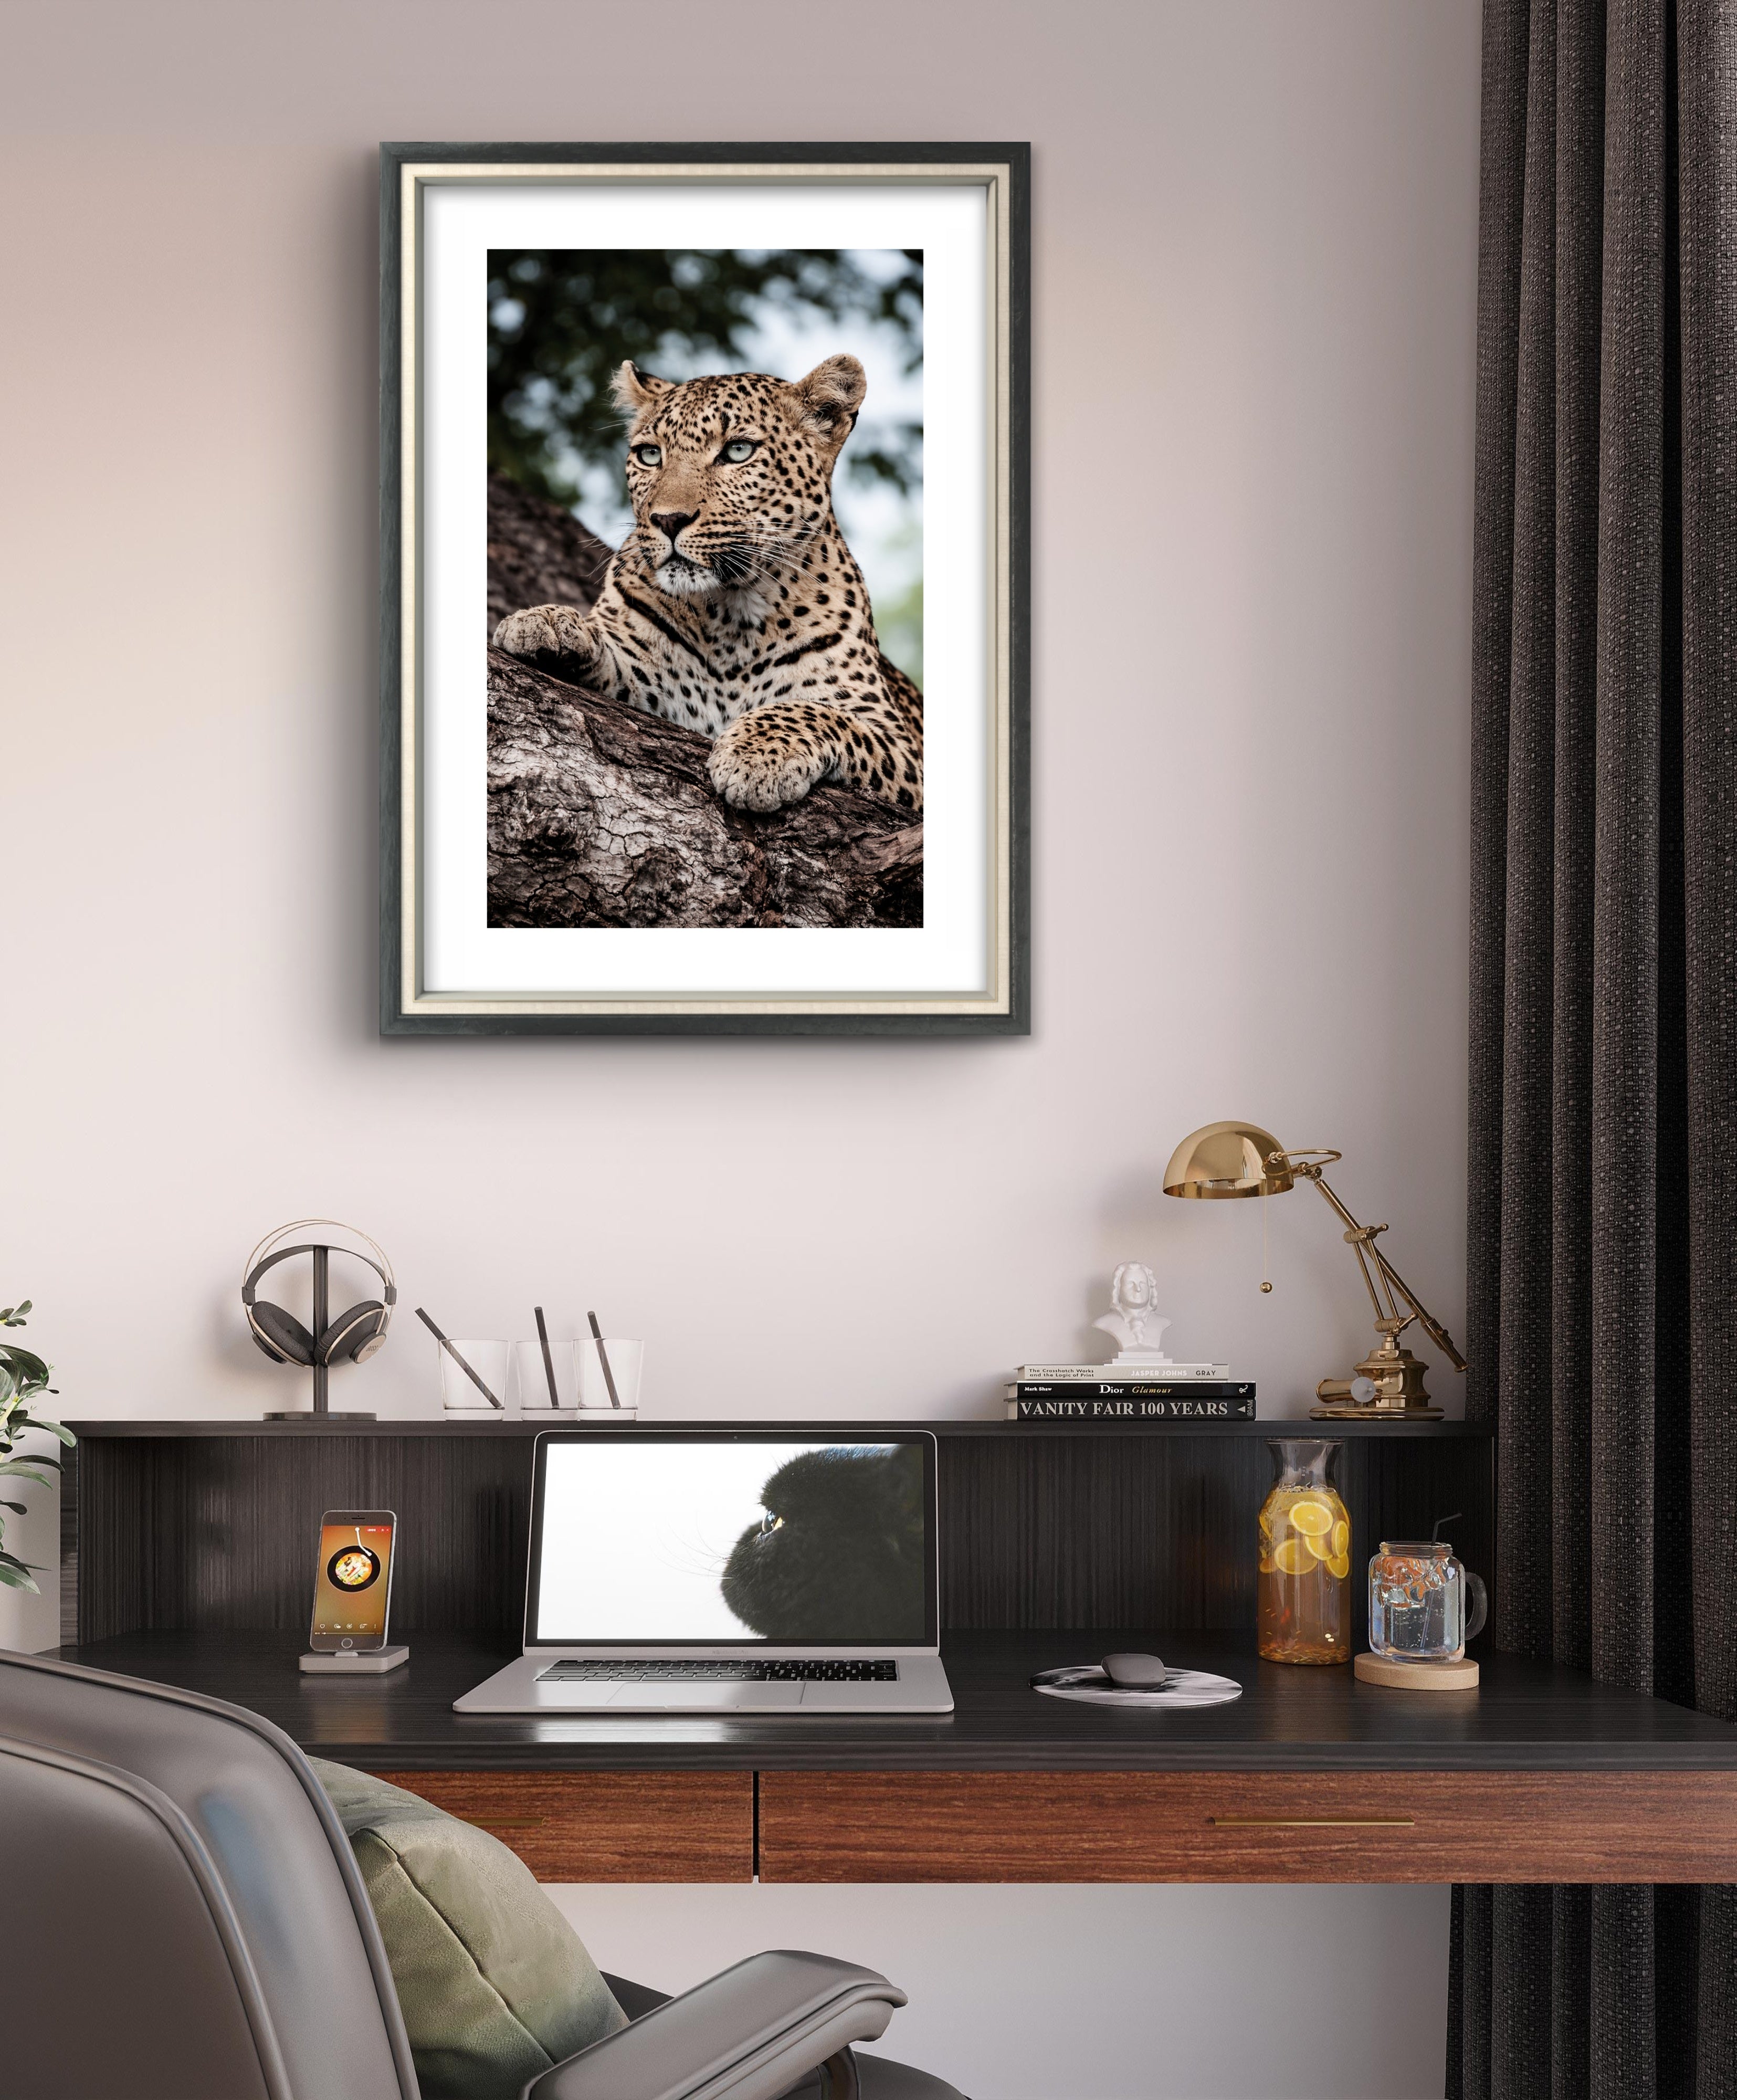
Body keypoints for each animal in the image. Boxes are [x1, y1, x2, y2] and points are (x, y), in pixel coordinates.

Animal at [491, 354, 923, 816]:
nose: (667, 520)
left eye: (738, 451)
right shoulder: (649, 680)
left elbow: (814, 711)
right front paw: (548, 624)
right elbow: (612, 650)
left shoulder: (898, 741)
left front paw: (757, 755)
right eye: (650, 455)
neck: (733, 614)